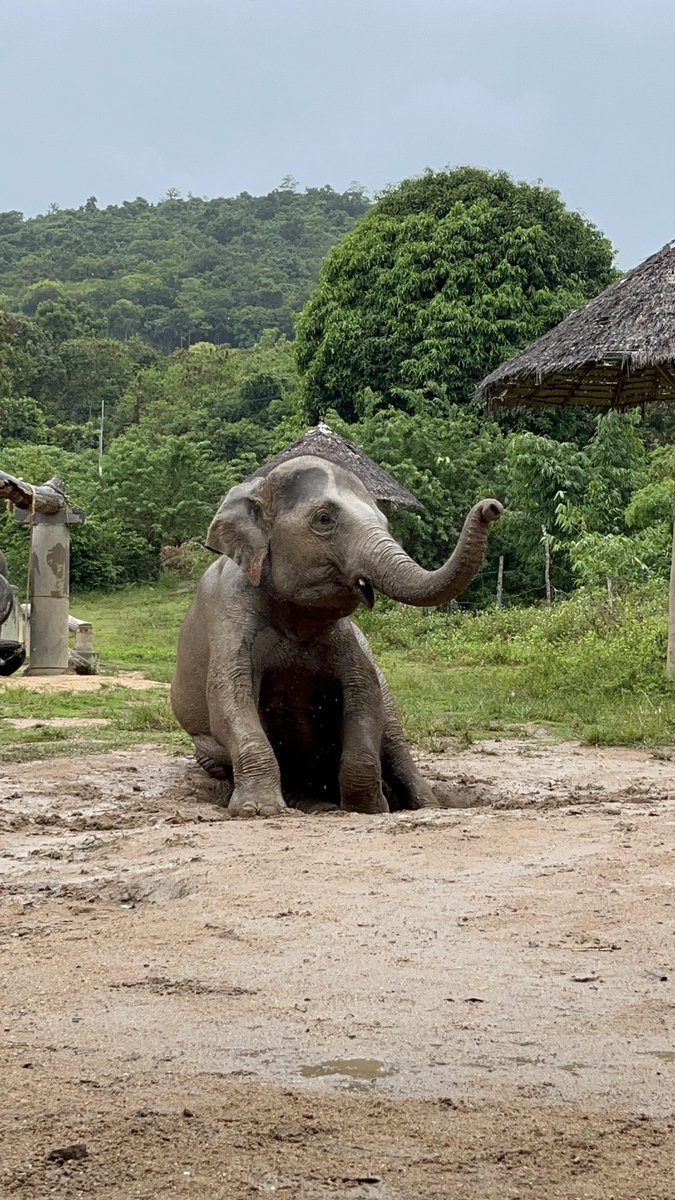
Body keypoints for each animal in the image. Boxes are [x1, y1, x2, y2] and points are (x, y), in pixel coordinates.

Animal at [171, 456, 503, 818]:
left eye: (385, 521)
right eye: (324, 519)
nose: (492, 506)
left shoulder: (348, 639)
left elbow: (364, 694)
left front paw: (369, 808)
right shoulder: (229, 613)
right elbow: (229, 696)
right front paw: (258, 810)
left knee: (395, 741)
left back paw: (426, 806)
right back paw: (314, 805)